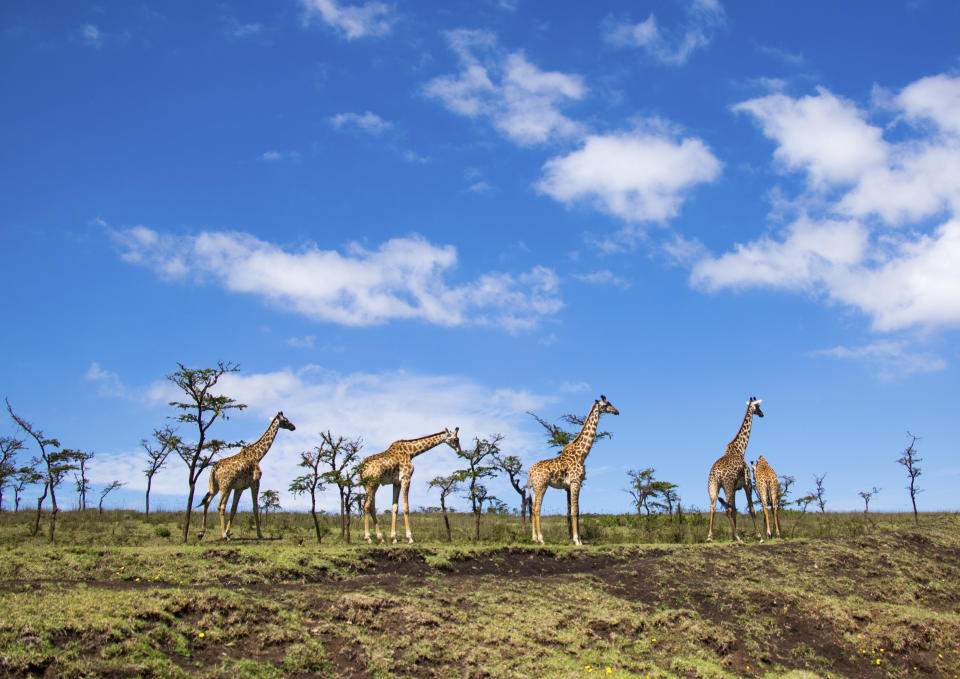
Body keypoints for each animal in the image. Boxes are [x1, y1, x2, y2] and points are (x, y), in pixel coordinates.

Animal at [197, 412, 294, 540]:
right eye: (286, 420)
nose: (293, 427)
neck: (257, 455)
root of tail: (214, 469)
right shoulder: (255, 483)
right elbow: (255, 507)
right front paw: (260, 534)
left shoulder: (239, 488)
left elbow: (234, 509)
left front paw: (228, 531)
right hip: (225, 487)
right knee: (220, 506)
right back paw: (223, 535)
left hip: (214, 487)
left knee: (207, 502)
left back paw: (201, 533)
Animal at [524, 398, 624, 548]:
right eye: (606, 405)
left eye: (610, 403)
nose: (616, 411)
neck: (581, 454)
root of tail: (530, 470)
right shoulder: (575, 482)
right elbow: (575, 511)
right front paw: (577, 540)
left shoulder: (576, 484)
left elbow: (577, 510)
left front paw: (579, 539)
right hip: (542, 486)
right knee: (537, 509)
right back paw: (541, 539)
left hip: (536, 487)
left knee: (532, 507)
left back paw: (534, 538)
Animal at [704, 396, 764, 544]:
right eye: (758, 407)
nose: (762, 414)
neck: (740, 449)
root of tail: (716, 473)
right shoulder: (747, 483)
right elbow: (751, 508)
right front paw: (759, 536)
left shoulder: (736, 487)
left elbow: (735, 509)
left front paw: (732, 535)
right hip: (728, 485)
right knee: (727, 509)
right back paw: (738, 538)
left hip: (714, 486)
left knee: (713, 506)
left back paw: (710, 537)